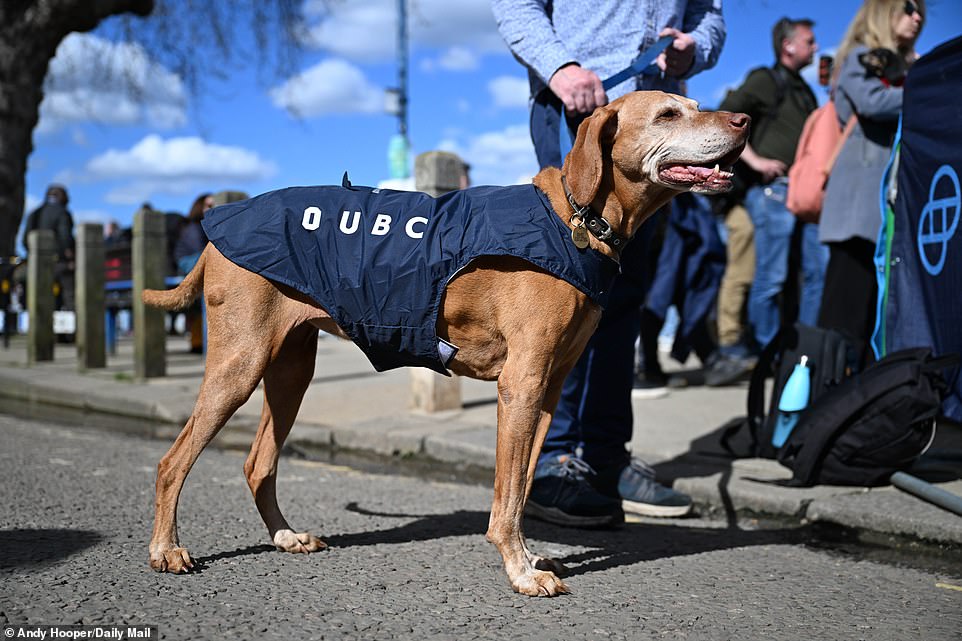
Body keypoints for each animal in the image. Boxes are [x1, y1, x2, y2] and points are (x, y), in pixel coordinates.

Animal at [142, 90, 748, 596]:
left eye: (696, 106)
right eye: (668, 114)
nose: (743, 121)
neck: (578, 218)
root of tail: (216, 227)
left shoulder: (547, 392)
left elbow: (521, 487)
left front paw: (529, 558)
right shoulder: (521, 385)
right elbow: (507, 497)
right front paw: (520, 570)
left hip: (290, 372)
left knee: (257, 464)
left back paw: (284, 537)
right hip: (240, 363)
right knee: (172, 462)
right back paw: (167, 549)